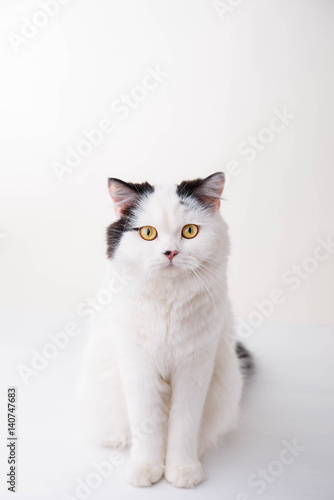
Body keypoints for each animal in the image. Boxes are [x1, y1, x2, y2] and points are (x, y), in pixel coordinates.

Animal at [79, 172, 250, 488]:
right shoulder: (139, 368)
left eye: (190, 231)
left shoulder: (194, 369)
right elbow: (147, 426)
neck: (168, 304)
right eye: (148, 233)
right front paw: (145, 468)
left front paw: (182, 469)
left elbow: (184, 426)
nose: (170, 252)